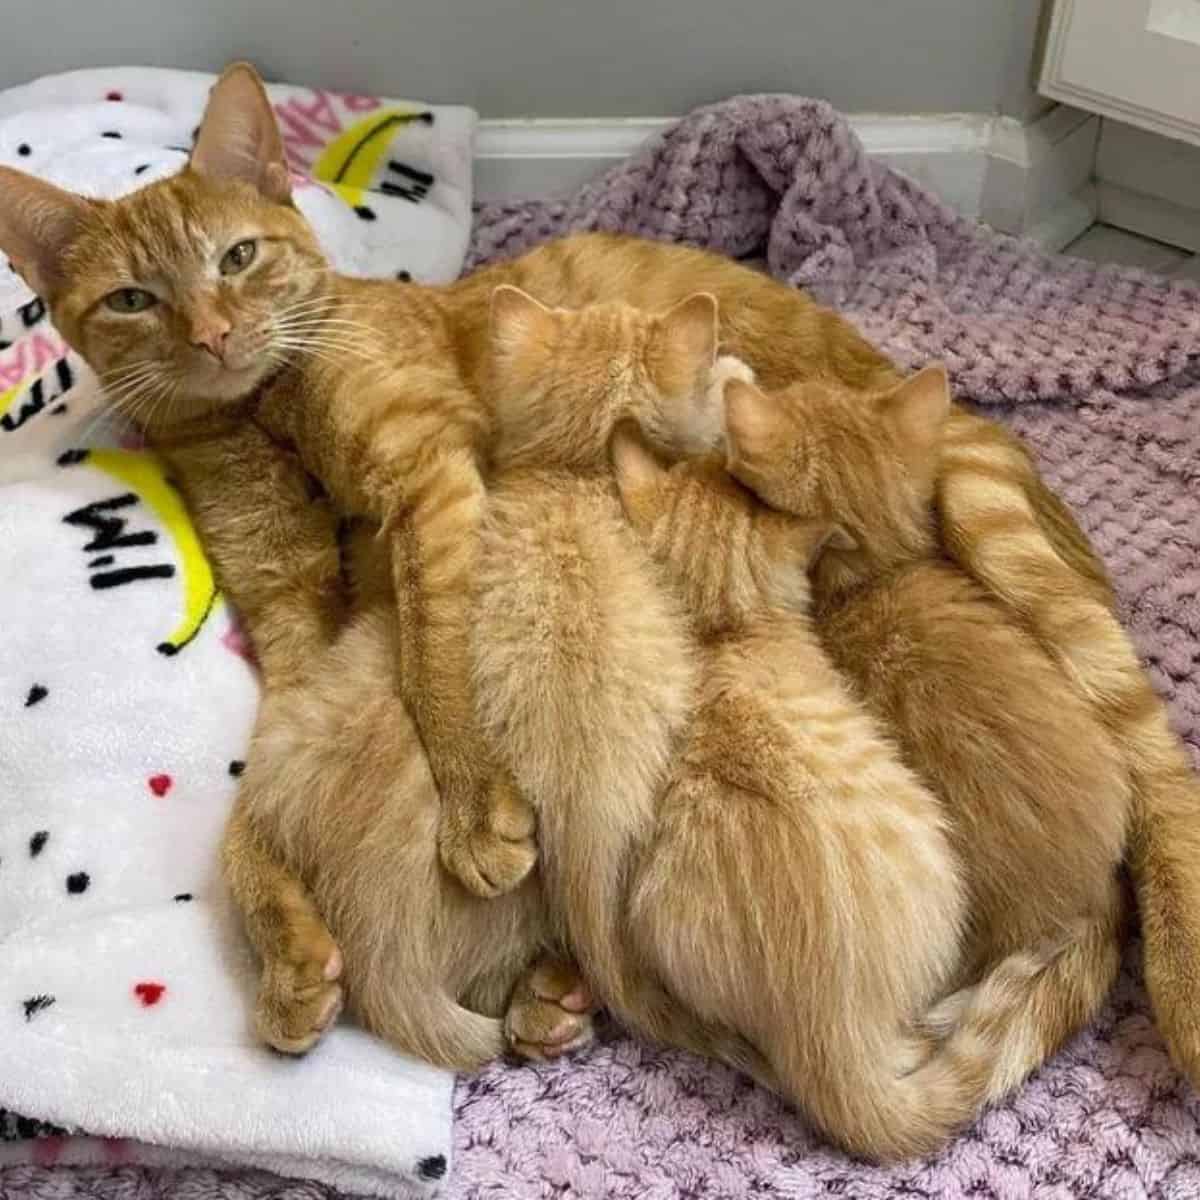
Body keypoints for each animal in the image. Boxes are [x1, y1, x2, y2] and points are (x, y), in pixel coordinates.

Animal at [2, 60, 1200, 1099]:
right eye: (132, 300)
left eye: (238, 257)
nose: (211, 333)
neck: (264, 419)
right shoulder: (296, 634)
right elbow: (246, 814)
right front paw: (285, 949)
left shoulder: (435, 482)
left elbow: (436, 652)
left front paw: (473, 808)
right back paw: (550, 991)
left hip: (1006, 536)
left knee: (1156, 771)